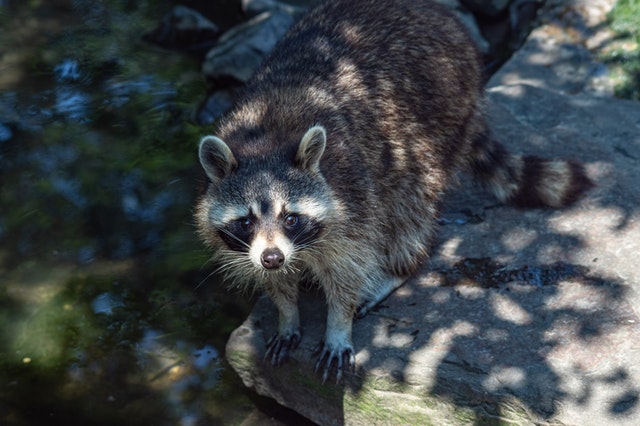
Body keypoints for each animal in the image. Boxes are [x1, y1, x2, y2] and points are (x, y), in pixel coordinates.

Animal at [195, 0, 591, 382]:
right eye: (246, 221)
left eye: (290, 218)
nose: (273, 257)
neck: (265, 140)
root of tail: (438, 12)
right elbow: (275, 283)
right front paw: (287, 313)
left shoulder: (353, 197)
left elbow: (348, 270)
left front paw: (338, 324)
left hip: (437, 119)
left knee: (409, 209)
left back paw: (399, 267)